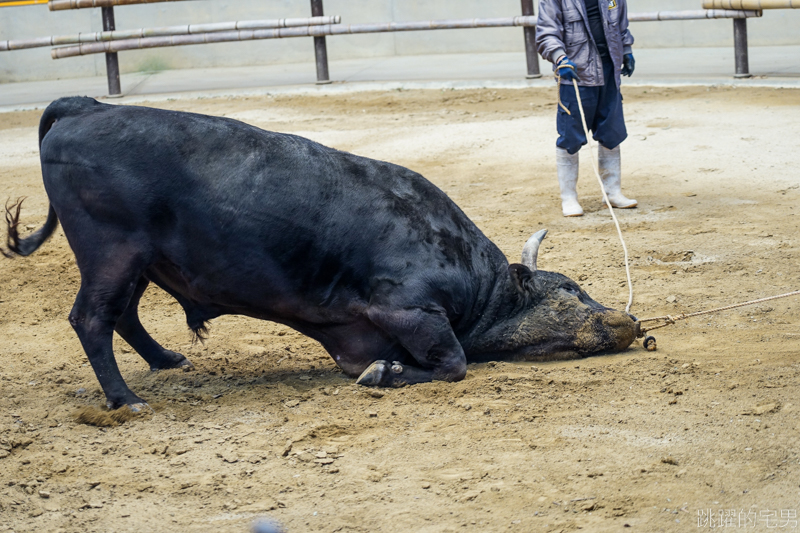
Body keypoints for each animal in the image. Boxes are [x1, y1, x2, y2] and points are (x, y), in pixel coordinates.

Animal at [3, 97, 636, 410]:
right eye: (573, 289)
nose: (631, 321)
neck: (482, 285)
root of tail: (87, 107)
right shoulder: (408, 309)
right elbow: (453, 363)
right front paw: (387, 376)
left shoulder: (356, 339)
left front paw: (385, 370)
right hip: (111, 252)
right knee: (92, 319)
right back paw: (126, 399)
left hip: (138, 262)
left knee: (124, 315)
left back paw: (165, 361)